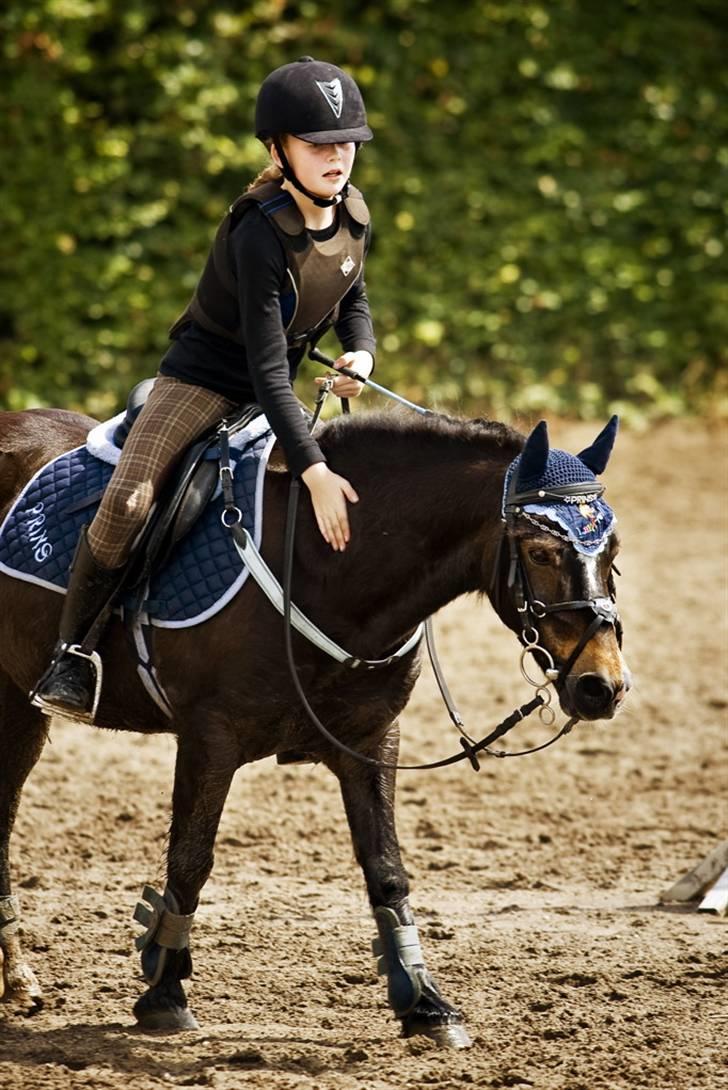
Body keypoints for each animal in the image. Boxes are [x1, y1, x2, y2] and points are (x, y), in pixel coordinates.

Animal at [0, 404, 630, 1048]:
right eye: (540, 552)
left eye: (611, 550)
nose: (601, 686)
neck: (328, 565)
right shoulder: (209, 739)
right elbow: (191, 860)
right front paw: (164, 993)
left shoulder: (370, 742)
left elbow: (387, 870)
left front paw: (425, 1003)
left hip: (19, 704)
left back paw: (17, 980)